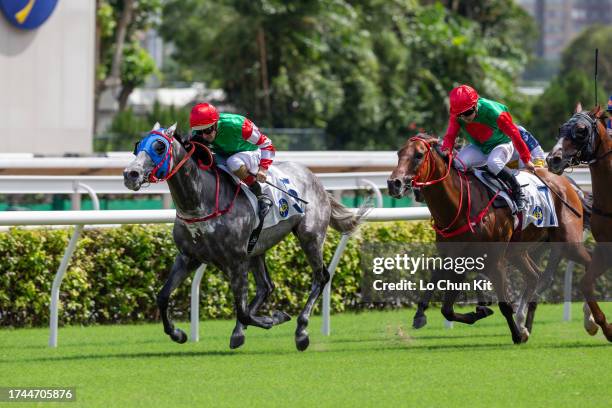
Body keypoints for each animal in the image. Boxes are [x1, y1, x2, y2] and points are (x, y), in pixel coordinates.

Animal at [122, 122, 366, 350]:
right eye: (137, 145)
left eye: (159, 147)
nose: (130, 175)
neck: (202, 202)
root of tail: (316, 180)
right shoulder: (188, 257)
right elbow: (162, 297)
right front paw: (178, 334)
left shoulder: (236, 261)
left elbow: (243, 311)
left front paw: (274, 317)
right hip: (257, 248)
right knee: (266, 286)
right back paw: (240, 332)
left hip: (310, 236)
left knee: (321, 277)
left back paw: (301, 331)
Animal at [388, 135, 592, 344]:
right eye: (399, 153)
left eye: (419, 155)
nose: (394, 183)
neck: (461, 207)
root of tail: (566, 183)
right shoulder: (456, 259)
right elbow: (446, 307)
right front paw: (480, 311)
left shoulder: (495, 261)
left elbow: (504, 305)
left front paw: (516, 334)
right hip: (517, 251)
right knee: (534, 276)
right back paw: (525, 324)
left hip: (569, 243)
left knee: (587, 262)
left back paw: (587, 320)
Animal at [544, 105, 612, 342]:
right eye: (560, 128)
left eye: (581, 131)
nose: (553, 159)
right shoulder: (605, 249)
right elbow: (585, 283)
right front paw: (602, 326)